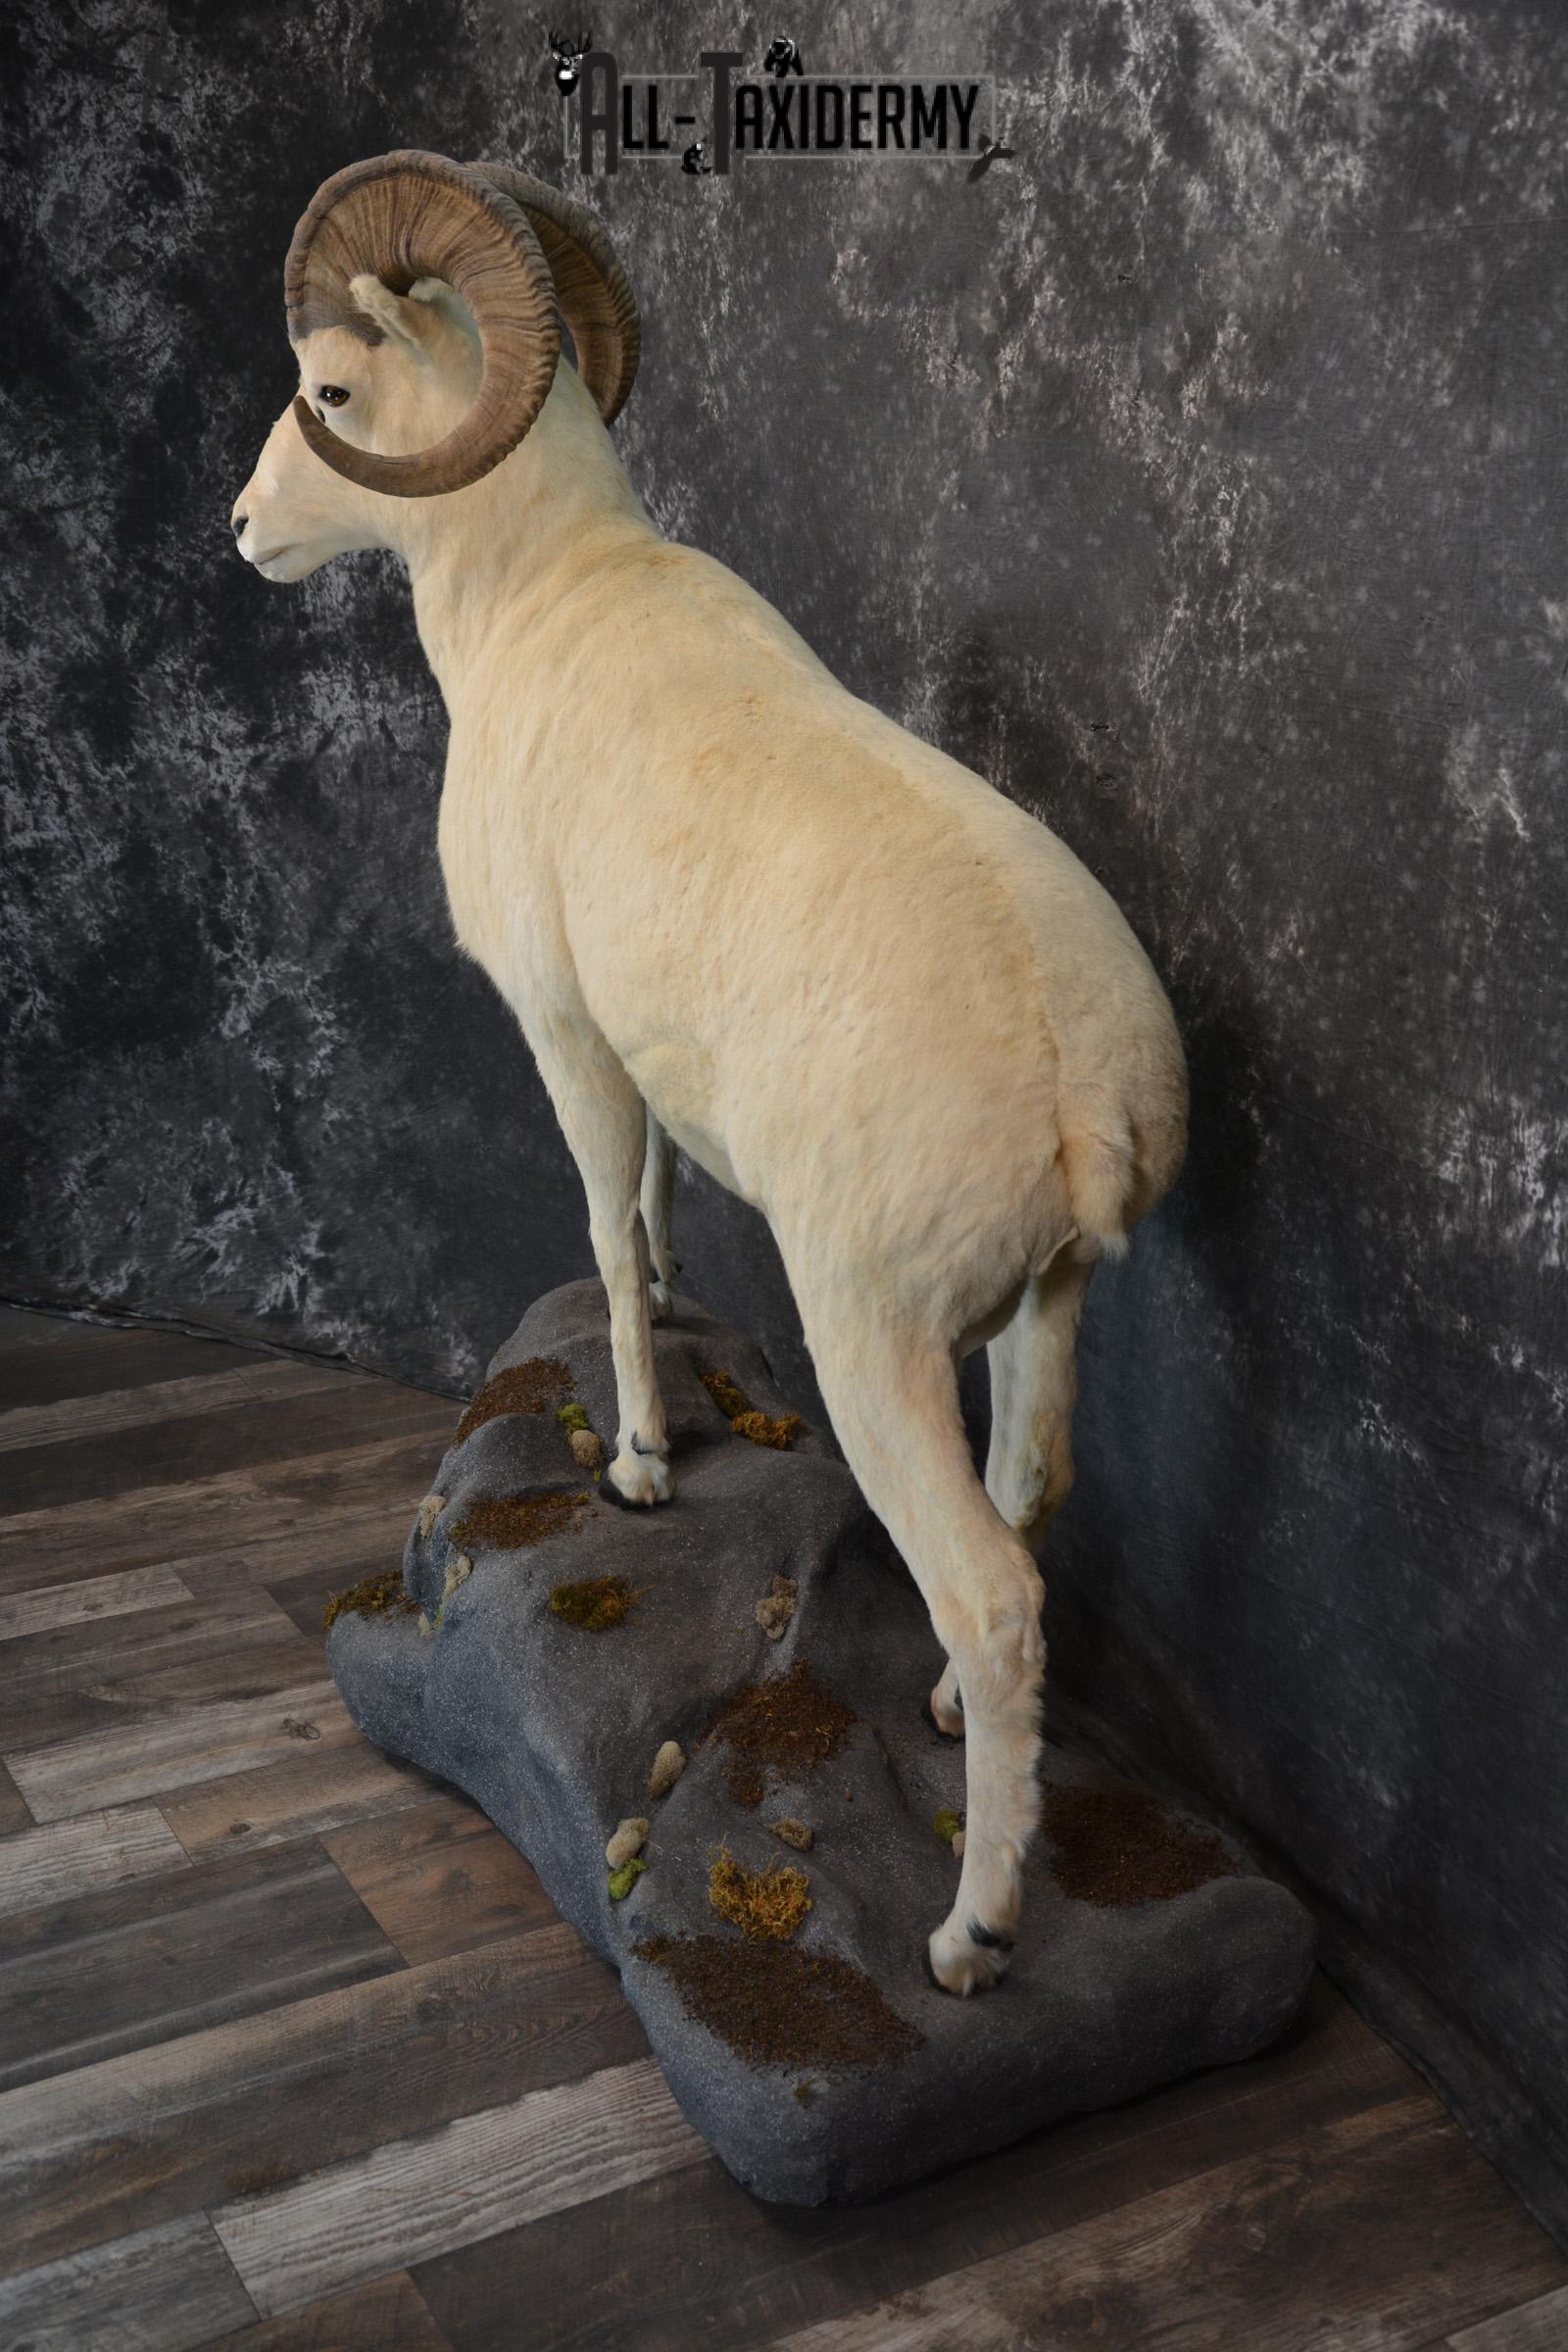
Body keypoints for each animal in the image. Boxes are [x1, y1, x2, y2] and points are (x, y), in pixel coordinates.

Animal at [231, 150, 1187, 1994]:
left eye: (331, 393)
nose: (245, 530)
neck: (541, 599)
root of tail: (1078, 1086)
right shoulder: (646, 1064)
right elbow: (661, 1211)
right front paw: (682, 1314)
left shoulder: (564, 1035)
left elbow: (606, 1238)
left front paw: (641, 1464)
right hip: (1051, 1301)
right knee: (1034, 1493)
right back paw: (949, 1723)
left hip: (878, 1339)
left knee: (992, 1590)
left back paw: (972, 1935)